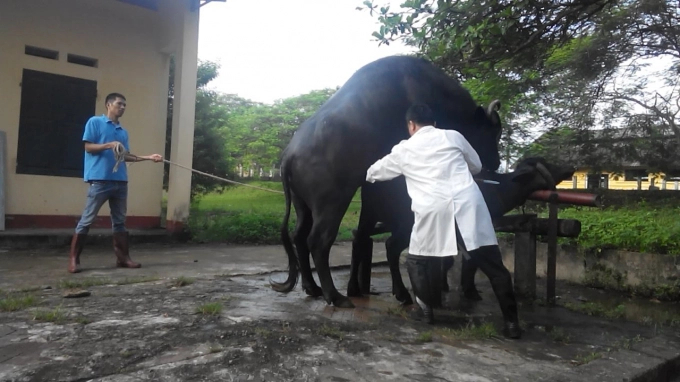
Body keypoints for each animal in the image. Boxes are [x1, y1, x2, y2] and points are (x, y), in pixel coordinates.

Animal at [274, 55, 508, 308]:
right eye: (494, 132)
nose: (495, 162)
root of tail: (290, 154)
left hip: (303, 205)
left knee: (299, 237)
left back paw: (312, 287)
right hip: (331, 204)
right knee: (318, 241)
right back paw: (334, 295)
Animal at [348, 156, 576, 304]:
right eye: (546, 164)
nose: (570, 168)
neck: (498, 189)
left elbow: (450, 259)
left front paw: (445, 285)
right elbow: (471, 260)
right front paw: (470, 290)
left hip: (368, 214)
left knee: (360, 240)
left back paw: (354, 289)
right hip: (404, 222)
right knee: (391, 247)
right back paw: (402, 294)